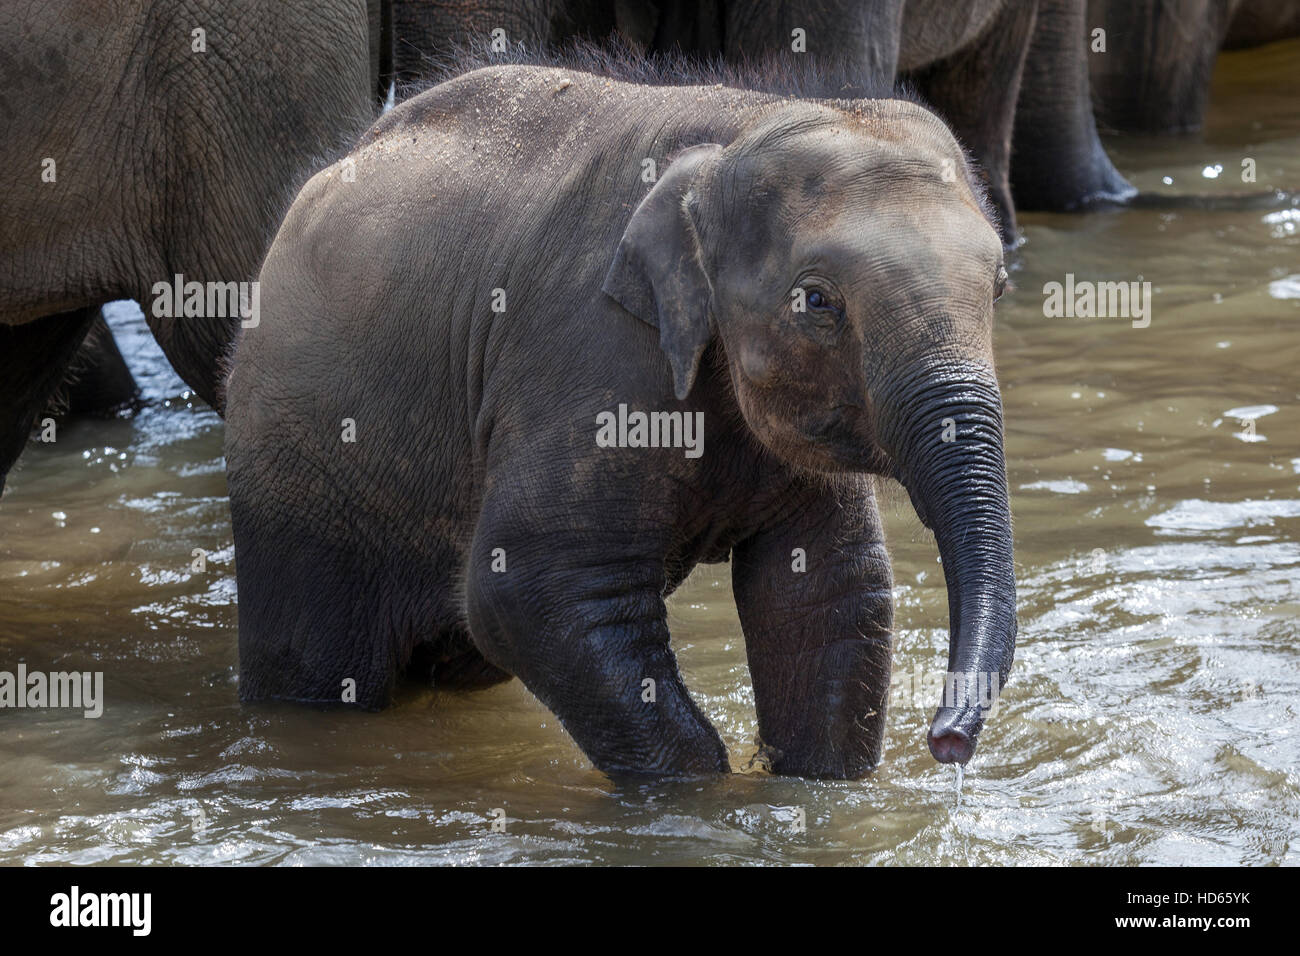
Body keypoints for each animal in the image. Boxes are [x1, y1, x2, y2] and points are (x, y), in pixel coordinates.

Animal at [220, 55, 1013, 780]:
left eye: (1001, 284)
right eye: (817, 301)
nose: (946, 742)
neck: (736, 128)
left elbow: (829, 592)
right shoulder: (586, 349)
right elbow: (525, 589)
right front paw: (702, 799)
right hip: (298, 472)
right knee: (319, 664)